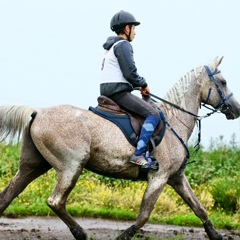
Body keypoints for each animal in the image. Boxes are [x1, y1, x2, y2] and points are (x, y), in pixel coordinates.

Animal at [0, 56, 239, 240]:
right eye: (223, 81)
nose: (236, 109)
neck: (175, 121)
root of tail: (38, 111)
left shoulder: (176, 178)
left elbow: (199, 207)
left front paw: (216, 235)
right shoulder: (159, 177)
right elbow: (144, 215)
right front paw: (123, 236)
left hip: (33, 166)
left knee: (8, 195)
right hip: (71, 166)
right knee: (56, 201)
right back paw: (81, 233)